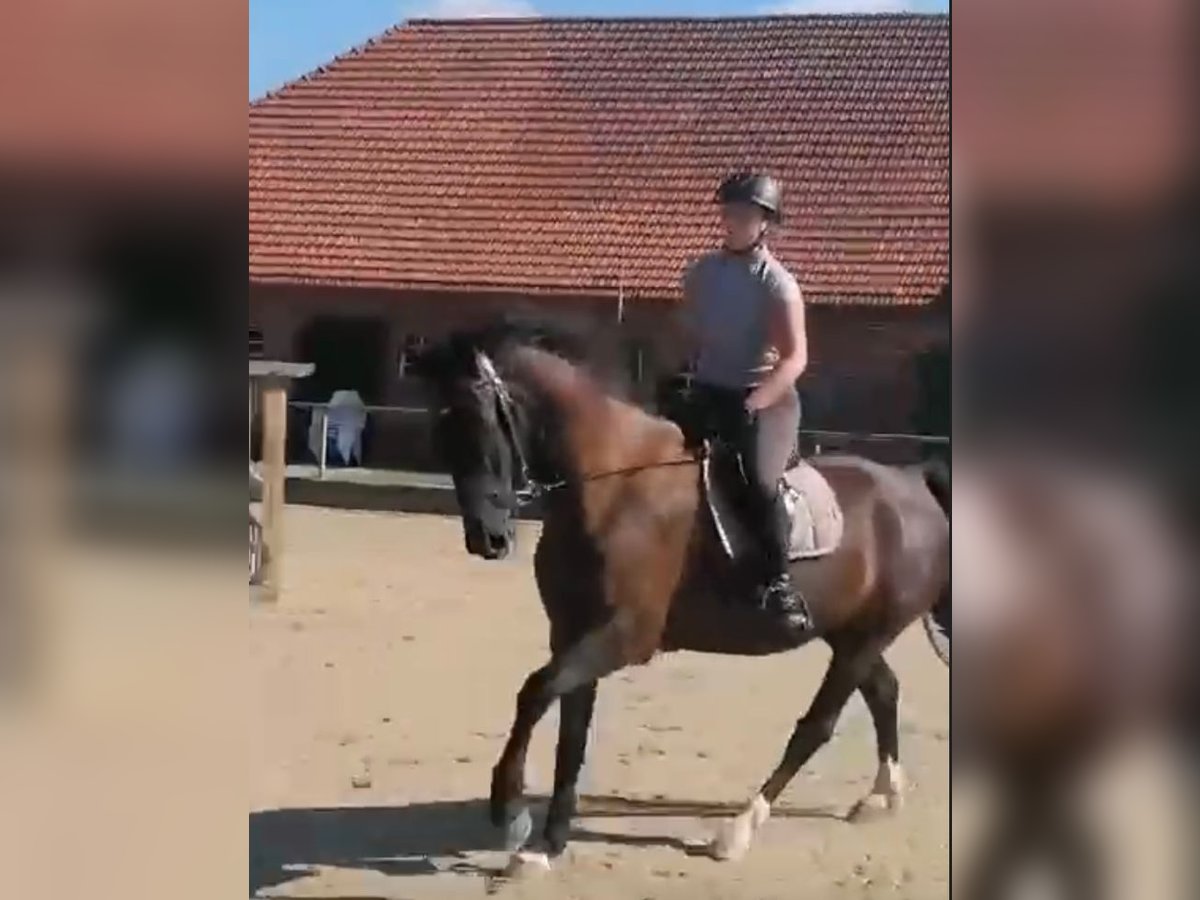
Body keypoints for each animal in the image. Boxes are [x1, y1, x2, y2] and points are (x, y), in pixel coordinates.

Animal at [413, 321, 950, 869]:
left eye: (481, 427)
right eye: (440, 434)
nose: (488, 540)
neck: (609, 489)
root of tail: (912, 485)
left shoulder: (625, 637)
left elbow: (535, 691)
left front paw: (511, 813)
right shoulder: (571, 633)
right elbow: (571, 729)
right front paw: (548, 845)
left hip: (865, 637)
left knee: (818, 725)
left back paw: (737, 831)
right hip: (848, 632)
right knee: (884, 690)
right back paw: (882, 796)